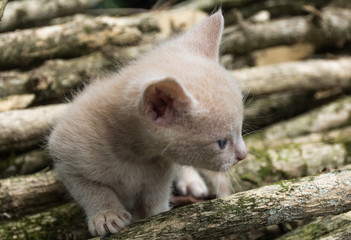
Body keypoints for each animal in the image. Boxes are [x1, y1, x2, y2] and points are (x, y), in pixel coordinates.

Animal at [48, 10, 248, 236]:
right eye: (222, 143)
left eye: (240, 130)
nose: (243, 154)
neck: (132, 154)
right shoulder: (64, 156)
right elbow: (92, 189)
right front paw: (106, 215)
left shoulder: (161, 173)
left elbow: (154, 197)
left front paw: (151, 217)